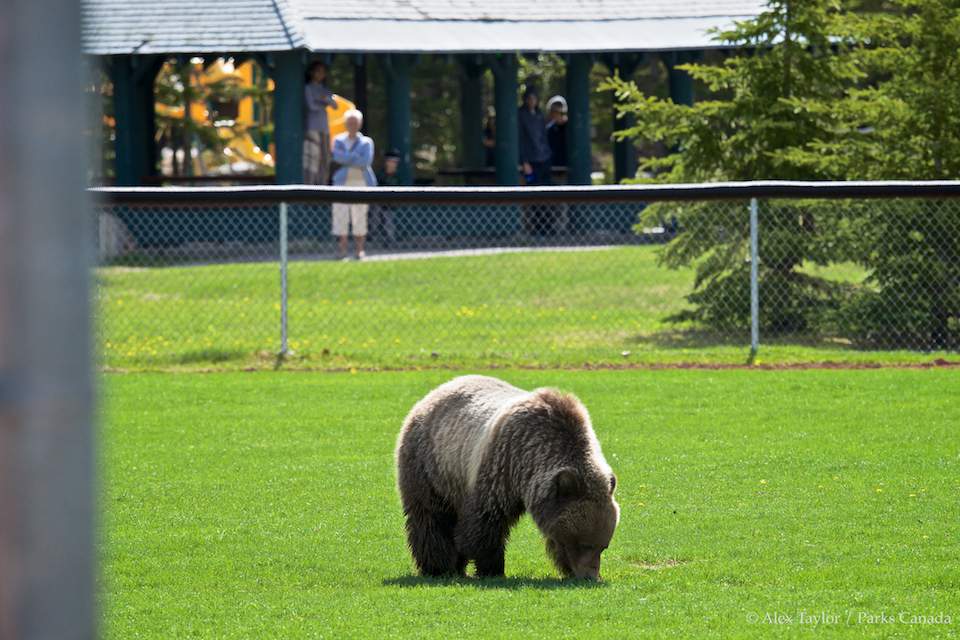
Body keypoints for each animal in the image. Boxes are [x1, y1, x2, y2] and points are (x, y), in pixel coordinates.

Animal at [395, 375, 619, 580]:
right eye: (584, 544)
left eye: (603, 546)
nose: (591, 576)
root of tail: (433, 393)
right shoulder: (502, 464)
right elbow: (486, 522)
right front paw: (491, 567)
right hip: (431, 465)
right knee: (431, 517)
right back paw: (438, 567)